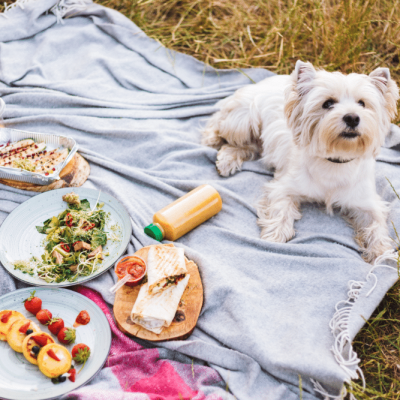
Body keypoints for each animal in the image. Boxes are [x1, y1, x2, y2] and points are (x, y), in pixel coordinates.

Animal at [205, 60, 398, 262]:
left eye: (362, 103)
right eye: (328, 103)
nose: (352, 117)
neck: (335, 159)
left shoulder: (367, 202)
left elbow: (376, 225)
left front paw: (382, 254)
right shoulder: (284, 187)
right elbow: (280, 210)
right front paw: (274, 237)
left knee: (247, 146)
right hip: (243, 121)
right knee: (221, 126)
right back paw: (215, 143)